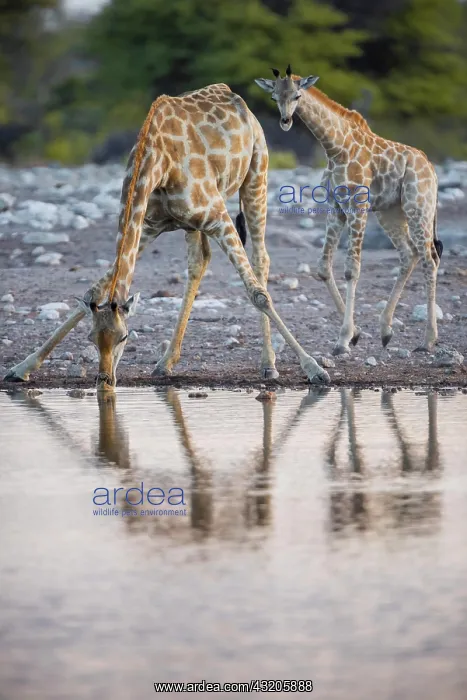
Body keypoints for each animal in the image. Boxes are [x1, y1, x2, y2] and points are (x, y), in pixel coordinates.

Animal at [5, 84, 330, 390]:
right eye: (91, 338)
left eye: (124, 337)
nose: (105, 380)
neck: (156, 163)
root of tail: (238, 100)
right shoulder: (148, 225)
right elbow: (94, 290)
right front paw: (21, 368)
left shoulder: (218, 217)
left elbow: (257, 294)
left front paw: (315, 369)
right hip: (192, 224)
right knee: (200, 261)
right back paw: (165, 362)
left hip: (255, 176)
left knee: (260, 259)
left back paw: (269, 364)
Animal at [255, 65, 443, 356]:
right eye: (274, 96)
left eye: (297, 95)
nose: (285, 121)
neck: (335, 147)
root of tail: (431, 168)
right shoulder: (336, 208)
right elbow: (323, 267)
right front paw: (355, 334)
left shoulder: (358, 206)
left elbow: (351, 269)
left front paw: (343, 339)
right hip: (390, 212)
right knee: (409, 254)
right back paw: (386, 331)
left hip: (418, 207)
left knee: (429, 259)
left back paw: (428, 339)